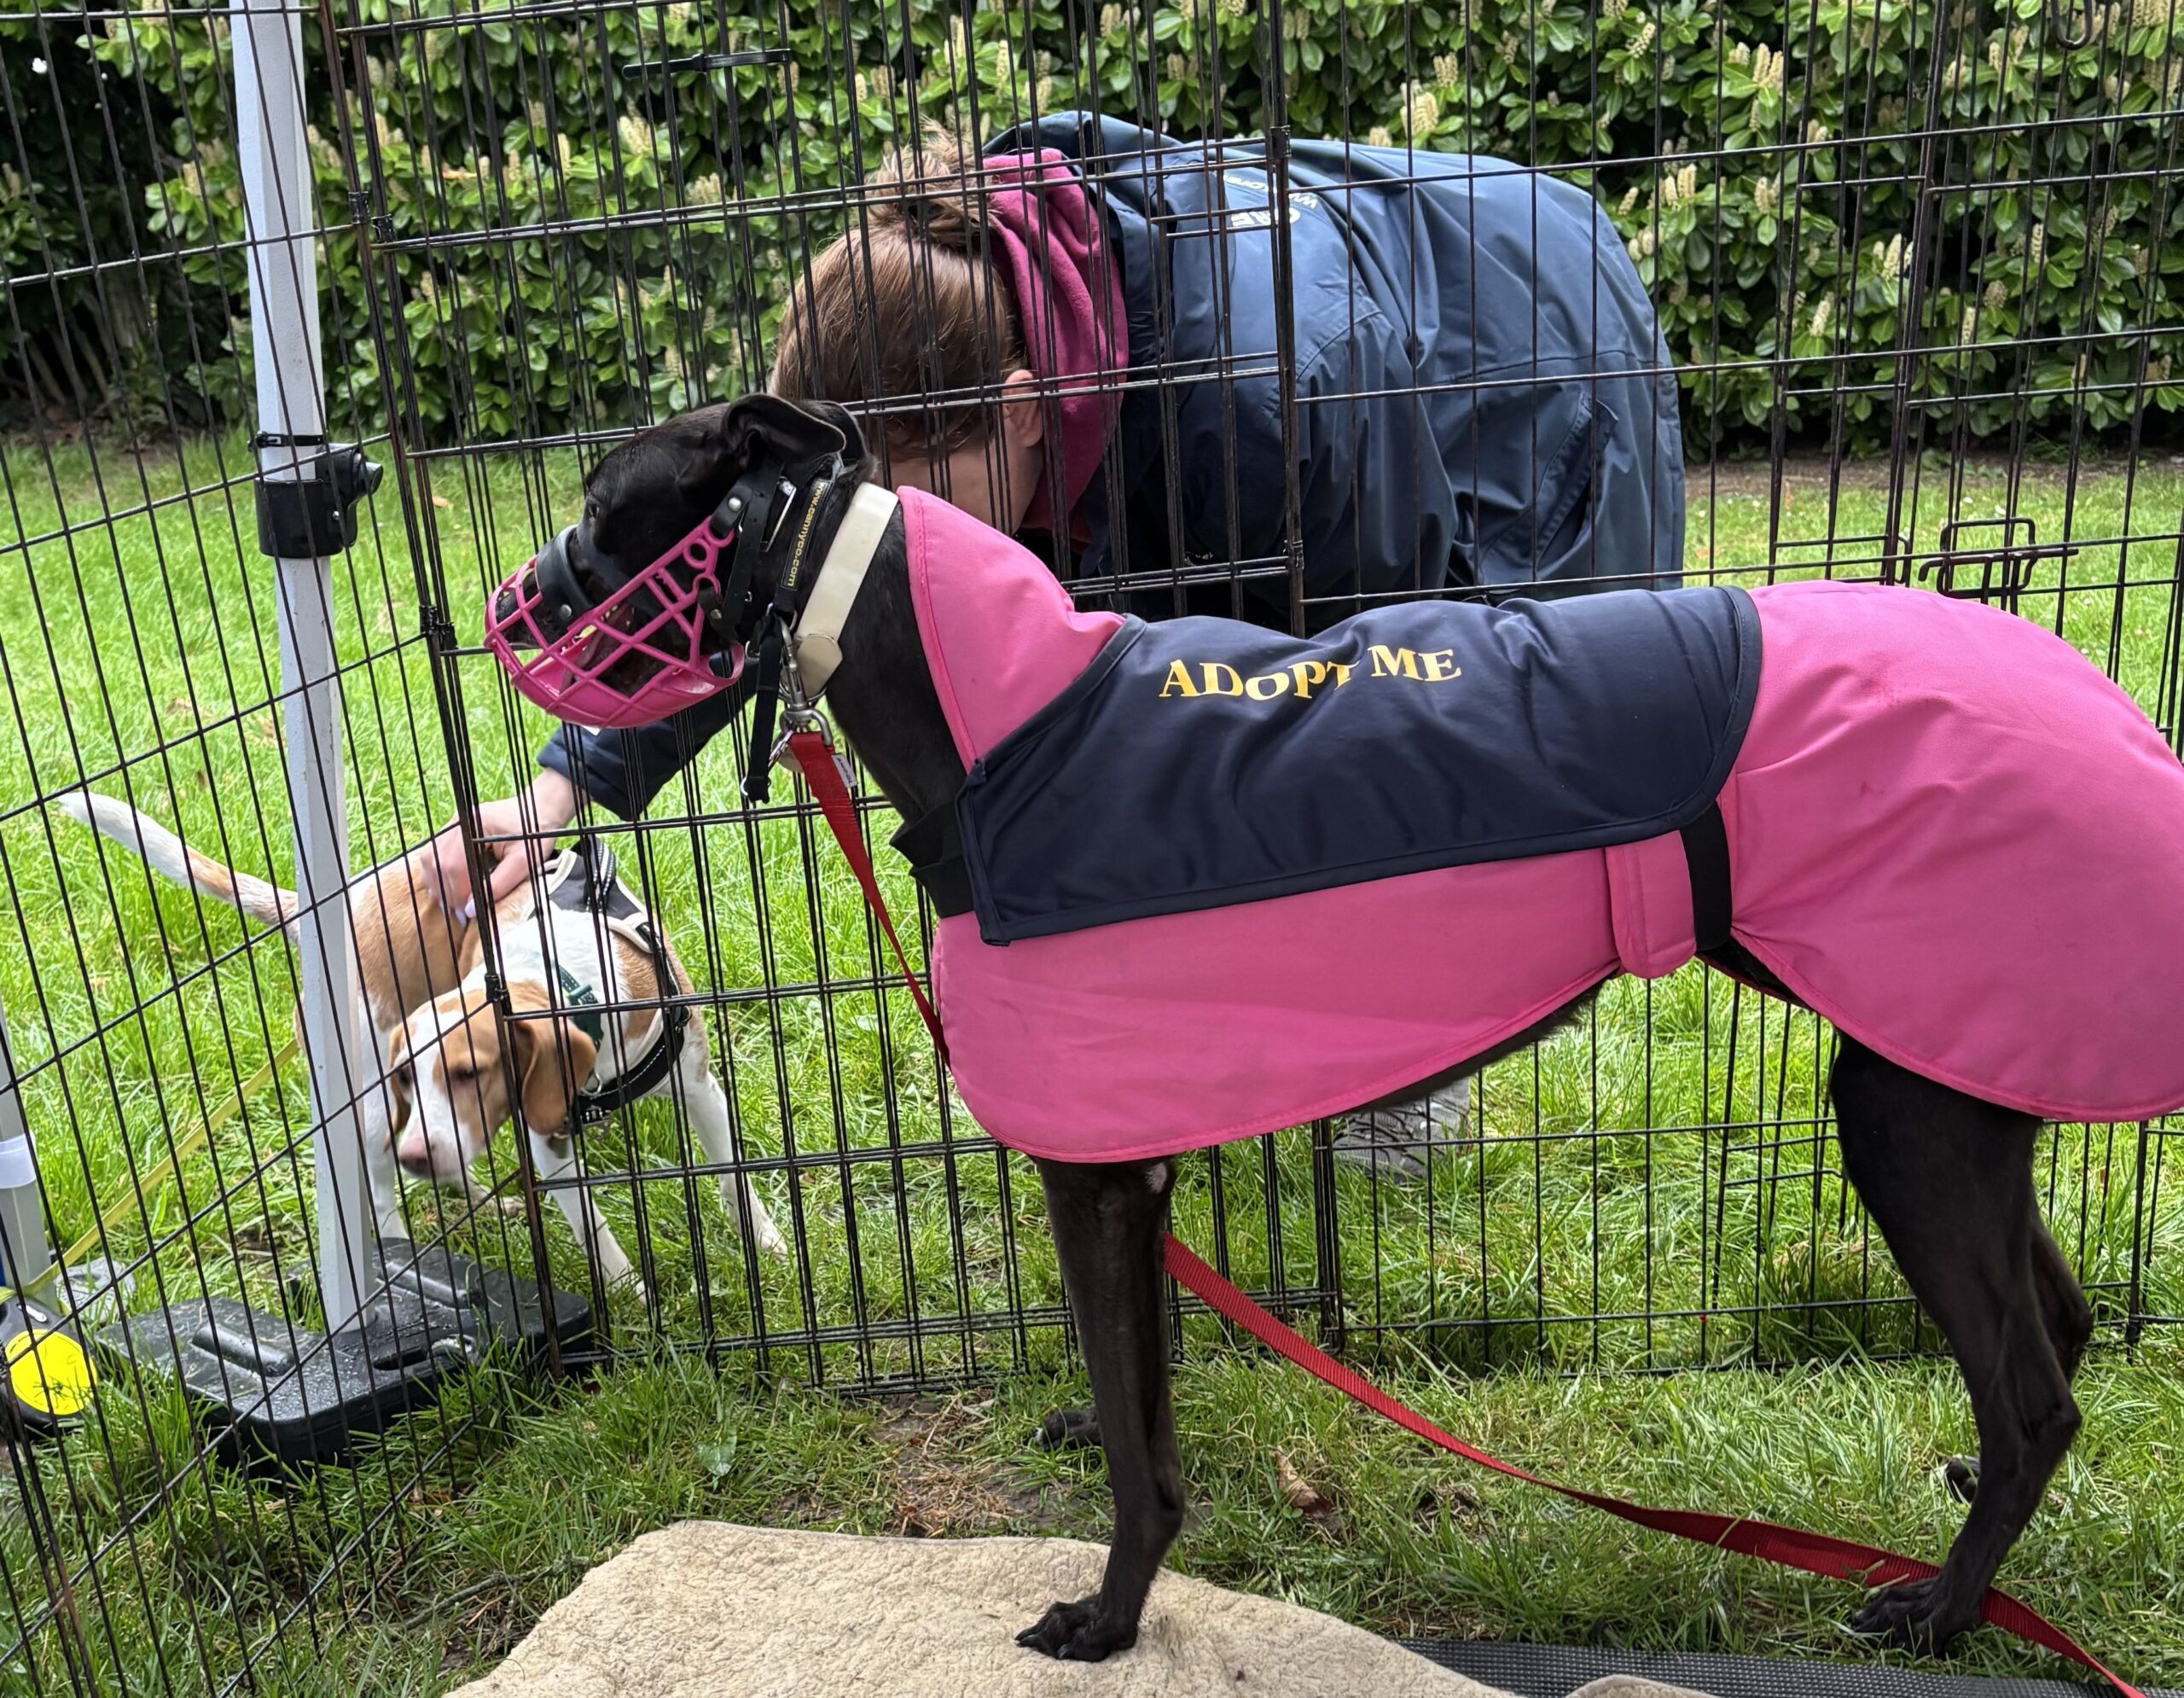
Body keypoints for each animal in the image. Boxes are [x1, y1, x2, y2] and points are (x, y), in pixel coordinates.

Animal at [56, 792, 783, 1287]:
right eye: (411, 1072)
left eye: (469, 1072)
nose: (417, 1155)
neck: (561, 977)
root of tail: (342, 904)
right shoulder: (546, 1143)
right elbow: (595, 1230)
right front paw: (633, 1296)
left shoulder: (699, 1086)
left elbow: (732, 1179)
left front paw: (771, 1247)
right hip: (377, 1111)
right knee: (381, 1199)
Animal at [483, 394, 2184, 1665]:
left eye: (606, 504)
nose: (520, 605)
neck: (1009, 718)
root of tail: (2114, 712)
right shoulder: (1138, 1166)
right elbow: (1142, 1400)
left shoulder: (1096, 1180)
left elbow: (1137, 1450)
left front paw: (1111, 1616)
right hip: (1955, 1088)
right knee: (2059, 1339)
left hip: (1907, 1109)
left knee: (2037, 1389)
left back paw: (1947, 1611)